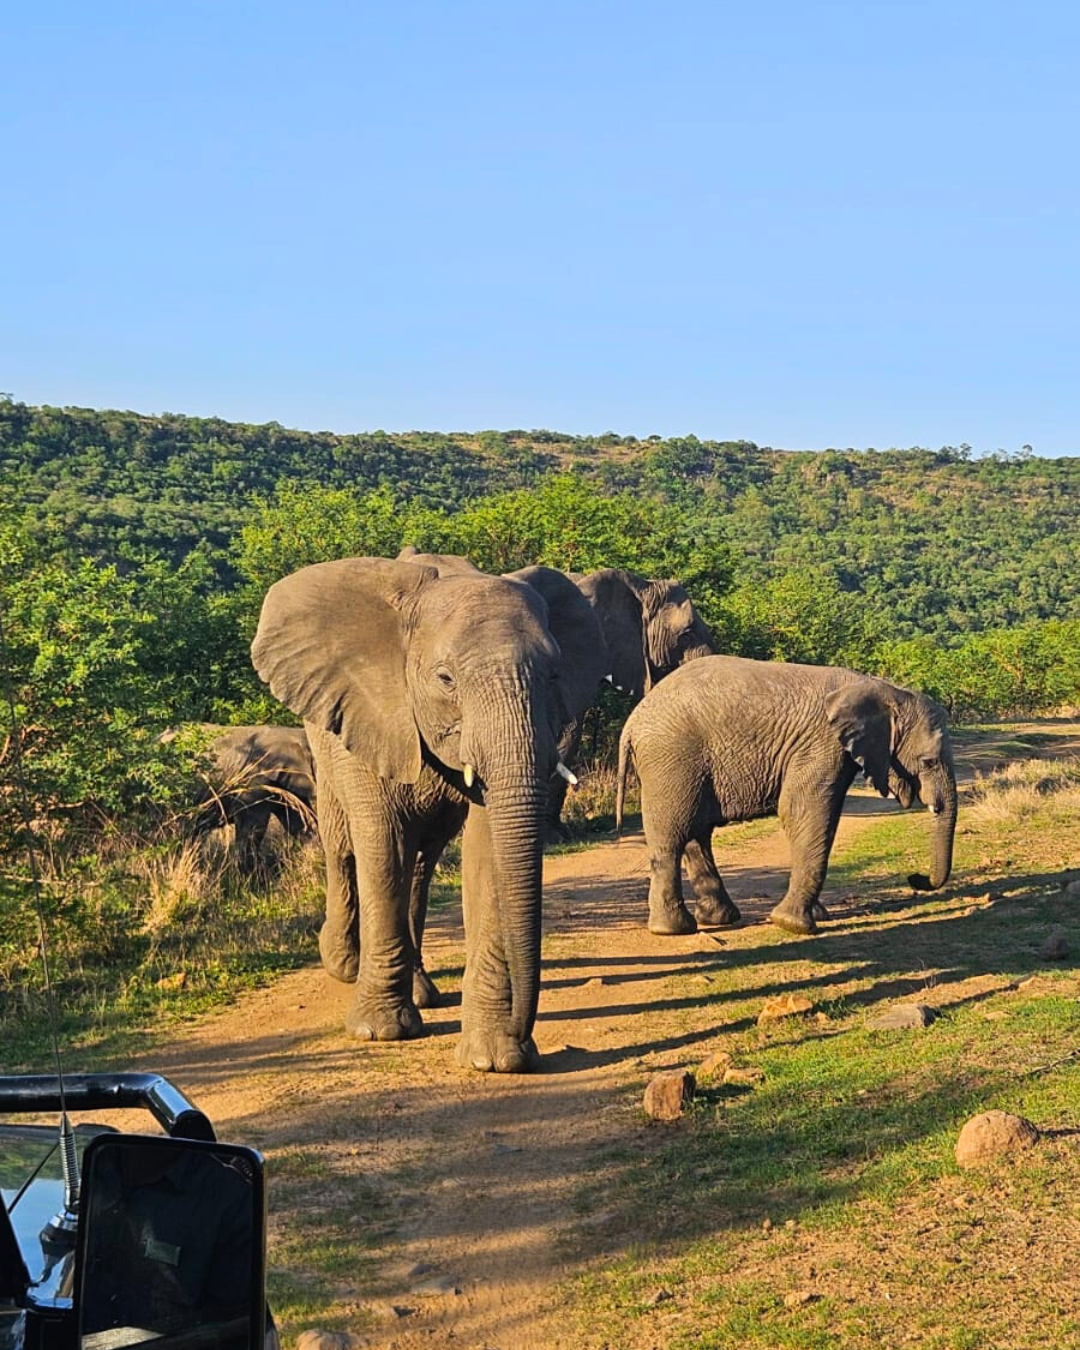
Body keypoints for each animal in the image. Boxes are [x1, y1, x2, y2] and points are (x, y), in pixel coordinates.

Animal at [251, 556, 594, 1072]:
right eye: (445, 679)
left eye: (554, 675)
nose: (524, 1029)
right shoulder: (370, 709)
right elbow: (382, 843)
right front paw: (379, 1032)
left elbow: (486, 853)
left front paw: (496, 1057)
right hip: (319, 735)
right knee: (344, 843)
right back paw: (345, 966)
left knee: (421, 862)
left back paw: (420, 993)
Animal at [615, 655, 957, 937]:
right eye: (929, 762)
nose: (915, 879)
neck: (884, 689)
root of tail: (632, 722)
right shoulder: (822, 744)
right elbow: (804, 811)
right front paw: (794, 924)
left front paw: (817, 914)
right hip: (671, 759)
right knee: (673, 836)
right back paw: (672, 929)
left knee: (697, 834)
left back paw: (719, 919)